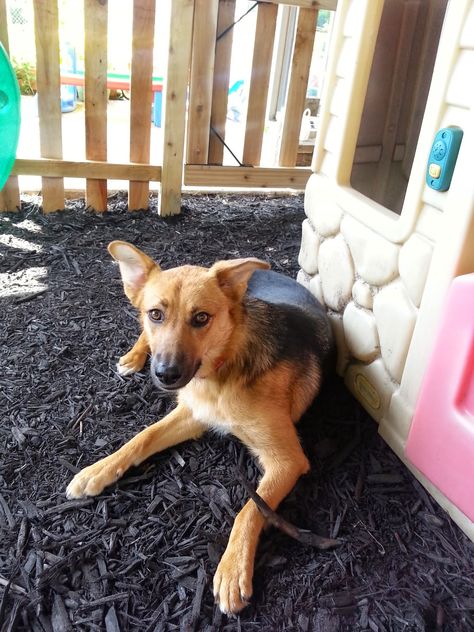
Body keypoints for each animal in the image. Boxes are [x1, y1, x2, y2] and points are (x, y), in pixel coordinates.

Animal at [65, 241, 334, 612]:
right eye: (156, 315)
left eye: (201, 318)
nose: (165, 374)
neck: (222, 370)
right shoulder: (191, 412)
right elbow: (141, 437)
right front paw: (98, 468)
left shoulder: (287, 460)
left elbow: (250, 510)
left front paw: (233, 568)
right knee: (141, 336)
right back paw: (133, 357)